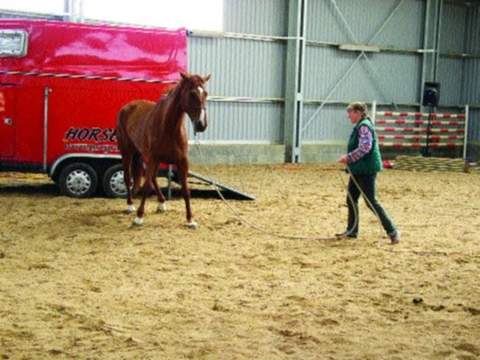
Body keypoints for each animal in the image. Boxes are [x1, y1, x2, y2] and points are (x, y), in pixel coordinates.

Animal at [116, 72, 210, 228]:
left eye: (206, 94)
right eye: (191, 94)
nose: (201, 125)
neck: (169, 127)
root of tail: (126, 107)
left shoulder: (182, 161)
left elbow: (186, 190)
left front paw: (190, 220)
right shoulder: (154, 158)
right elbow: (146, 186)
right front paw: (139, 217)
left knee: (152, 177)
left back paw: (162, 203)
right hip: (127, 151)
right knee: (128, 177)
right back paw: (130, 205)